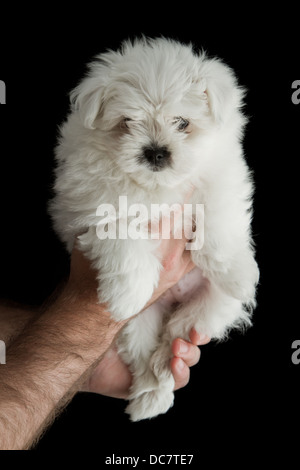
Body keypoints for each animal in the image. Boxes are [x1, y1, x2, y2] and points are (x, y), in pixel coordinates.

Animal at [50, 35, 258, 418]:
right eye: (127, 122)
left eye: (182, 122)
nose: (156, 152)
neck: (155, 185)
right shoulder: (87, 204)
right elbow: (119, 234)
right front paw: (127, 293)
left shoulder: (221, 174)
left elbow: (218, 214)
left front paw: (236, 272)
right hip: (136, 325)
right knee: (144, 347)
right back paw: (150, 390)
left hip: (209, 309)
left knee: (180, 332)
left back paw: (162, 374)